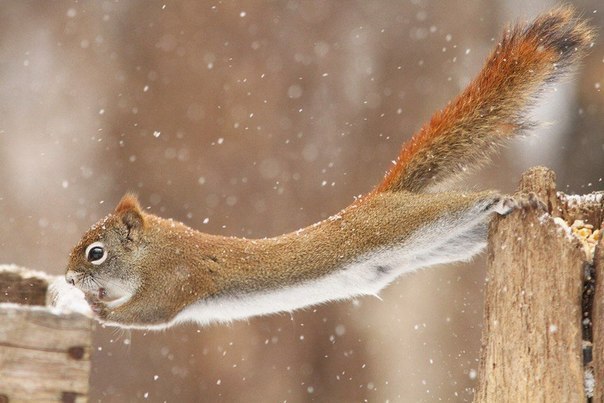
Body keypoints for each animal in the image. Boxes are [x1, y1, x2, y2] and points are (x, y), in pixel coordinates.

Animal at [63, 6, 592, 330]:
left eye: (96, 253)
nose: (67, 279)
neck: (152, 251)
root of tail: (381, 197)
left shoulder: (175, 281)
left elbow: (147, 315)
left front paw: (92, 307)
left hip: (407, 223)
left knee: (463, 204)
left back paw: (507, 197)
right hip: (443, 244)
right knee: (473, 231)